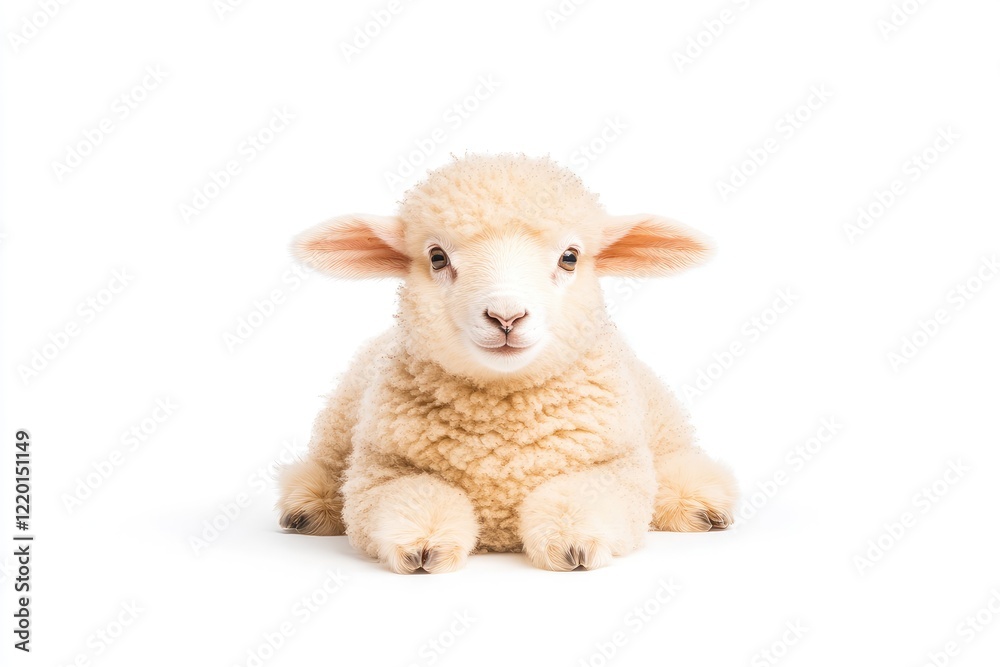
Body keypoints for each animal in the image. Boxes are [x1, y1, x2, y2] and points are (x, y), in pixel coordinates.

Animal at [277, 153, 738, 573]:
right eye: (437, 257)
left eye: (570, 257)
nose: (506, 317)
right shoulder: (381, 470)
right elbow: (412, 493)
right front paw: (422, 544)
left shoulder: (615, 466)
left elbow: (581, 494)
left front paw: (573, 542)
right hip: (343, 419)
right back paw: (308, 506)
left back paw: (699, 502)